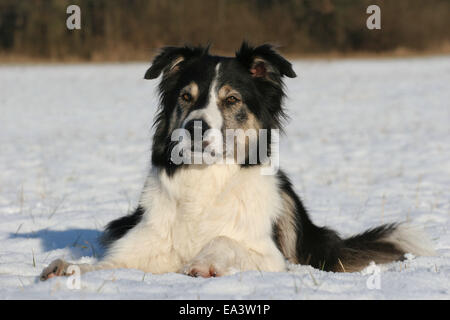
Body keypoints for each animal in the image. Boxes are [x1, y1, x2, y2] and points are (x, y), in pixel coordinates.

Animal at [41, 43, 432, 280]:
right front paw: (67, 268)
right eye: (186, 97)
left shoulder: (272, 257)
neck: (206, 178)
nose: (195, 126)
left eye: (231, 100)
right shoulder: (141, 249)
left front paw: (203, 262)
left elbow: (226, 241)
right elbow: (106, 265)